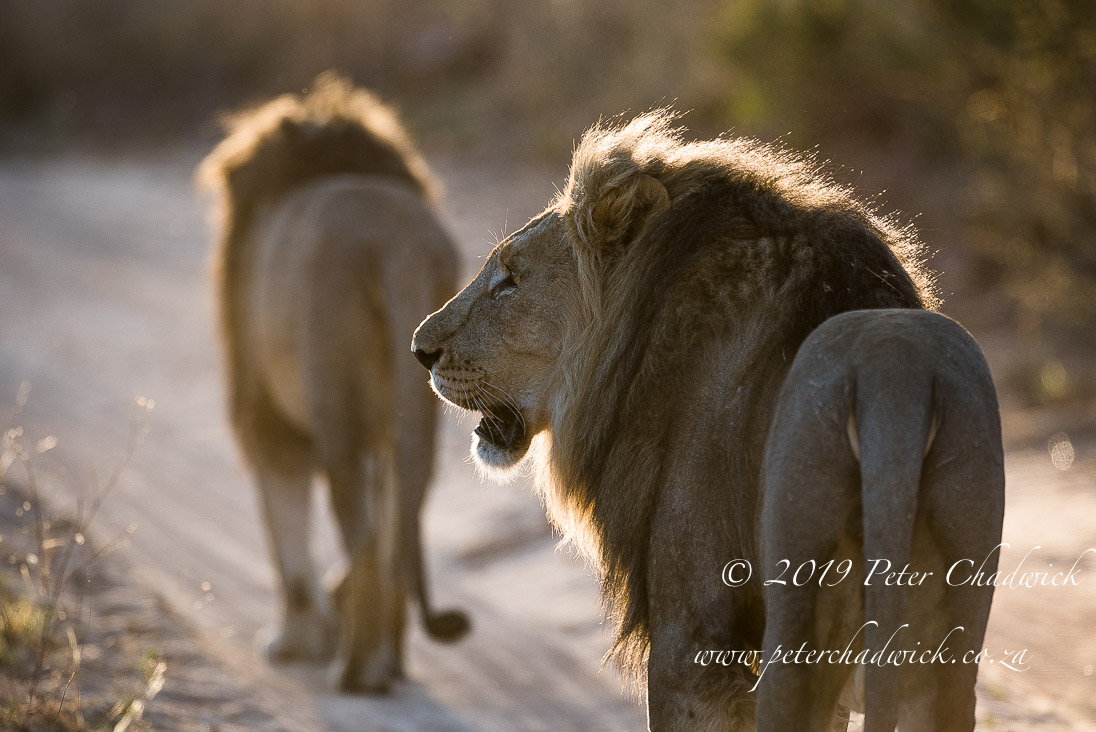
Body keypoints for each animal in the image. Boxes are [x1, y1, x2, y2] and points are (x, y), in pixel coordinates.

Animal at [198, 73, 469, 693]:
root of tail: (396, 243)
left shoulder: (263, 413)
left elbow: (284, 519)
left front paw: (296, 639)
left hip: (332, 395)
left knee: (364, 535)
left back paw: (358, 670)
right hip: (423, 397)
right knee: (398, 527)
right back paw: (387, 657)